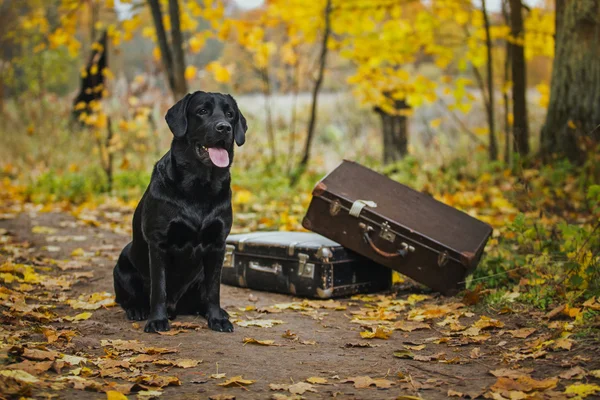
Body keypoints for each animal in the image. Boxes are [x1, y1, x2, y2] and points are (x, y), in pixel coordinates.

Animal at [113, 92, 247, 332]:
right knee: (126, 298)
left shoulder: (218, 244)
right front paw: (157, 320)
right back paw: (137, 309)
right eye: (202, 111)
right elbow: (159, 288)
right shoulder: (158, 243)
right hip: (122, 264)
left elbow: (214, 290)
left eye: (230, 114)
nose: (224, 128)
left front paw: (217, 318)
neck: (199, 188)